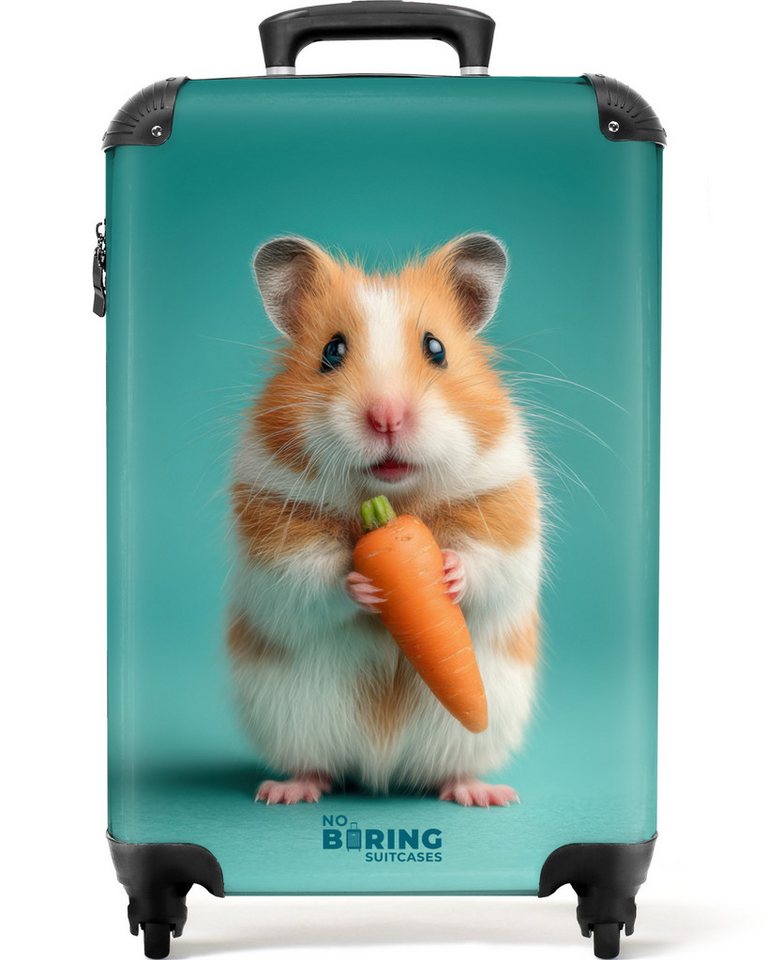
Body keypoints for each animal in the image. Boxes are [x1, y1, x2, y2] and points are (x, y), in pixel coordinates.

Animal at [228, 233, 542, 806]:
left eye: (436, 348)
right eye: (331, 352)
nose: (387, 417)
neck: (389, 505)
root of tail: (380, 770)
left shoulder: (504, 504)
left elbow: (487, 563)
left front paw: (447, 571)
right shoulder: (273, 525)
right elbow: (311, 577)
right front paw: (364, 586)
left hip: (476, 726)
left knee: (452, 767)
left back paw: (485, 794)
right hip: (289, 717)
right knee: (315, 764)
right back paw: (285, 791)